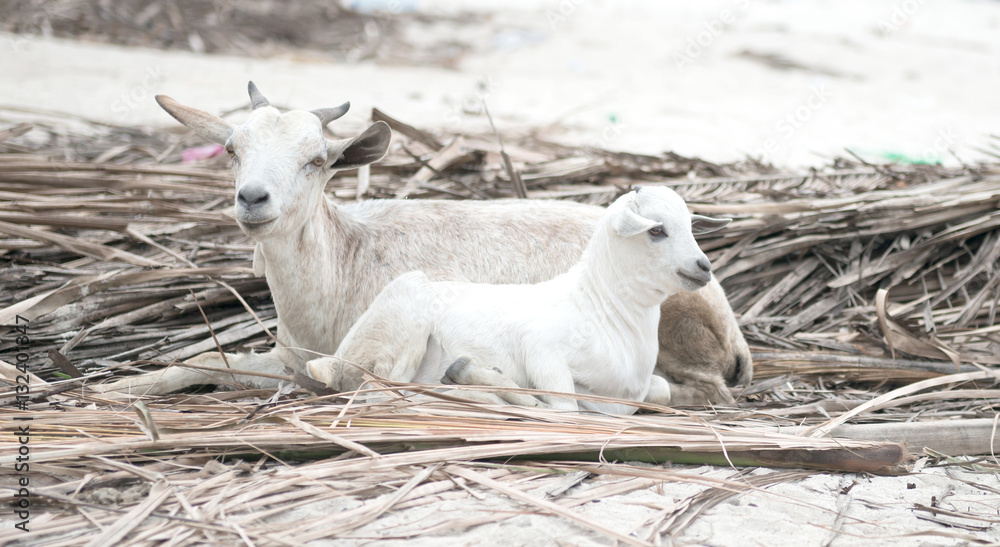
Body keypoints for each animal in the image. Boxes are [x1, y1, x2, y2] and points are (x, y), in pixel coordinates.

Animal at [307, 187, 730, 413]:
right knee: (383, 392)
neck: (602, 307)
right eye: (656, 230)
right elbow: (564, 407)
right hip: (403, 320)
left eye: (691, 226)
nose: (704, 266)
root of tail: (332, 360)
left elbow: (658, 390)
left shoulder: (638, 389)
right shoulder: (543, 351)